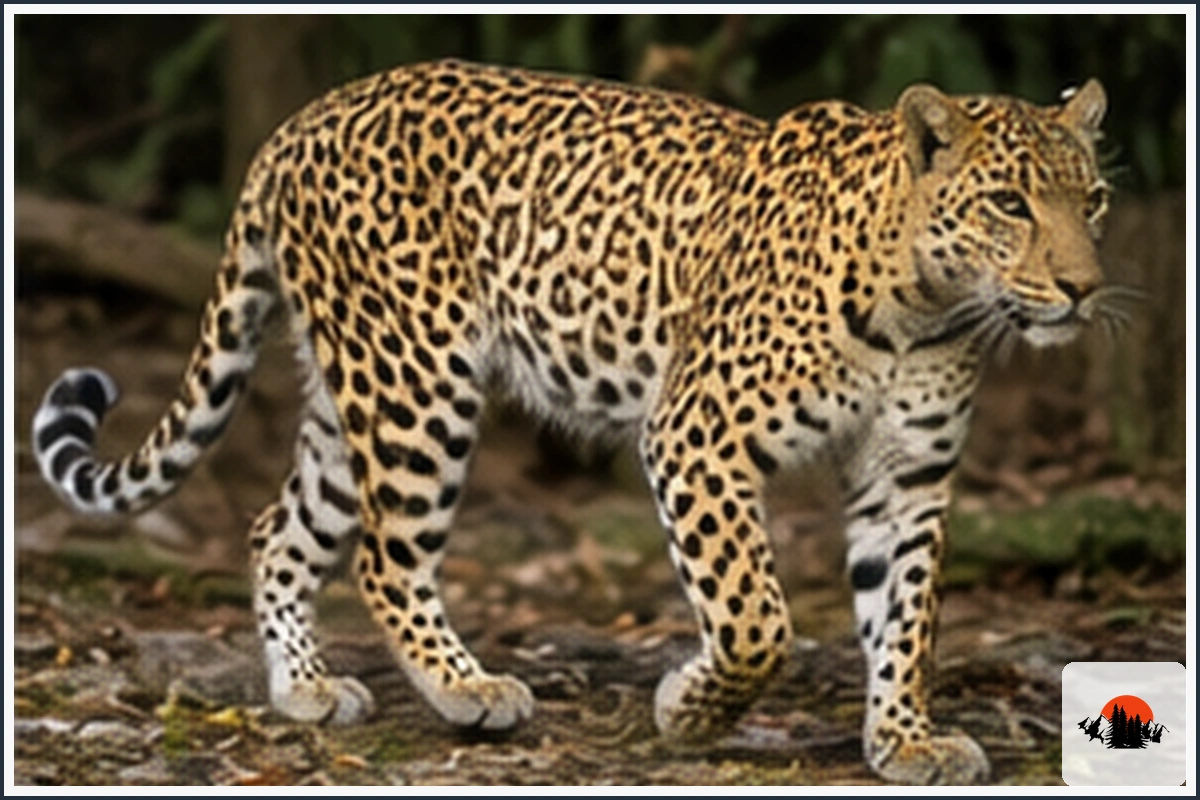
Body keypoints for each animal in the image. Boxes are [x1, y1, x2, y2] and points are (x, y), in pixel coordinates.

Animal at [31, 59, 1122, 784]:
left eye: (1097, 200)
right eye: (1009, 203)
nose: (1082, 288)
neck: (928, 306)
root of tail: (302, 120)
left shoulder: (910, 476)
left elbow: (907, 615)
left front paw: (904, 736)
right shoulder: (695, 432)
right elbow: (753, 616)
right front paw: (691, 710)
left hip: (353, 399)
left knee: (279, 530)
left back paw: (304, 687)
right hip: (417, 379)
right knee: (386, 553)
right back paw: (467, 689)